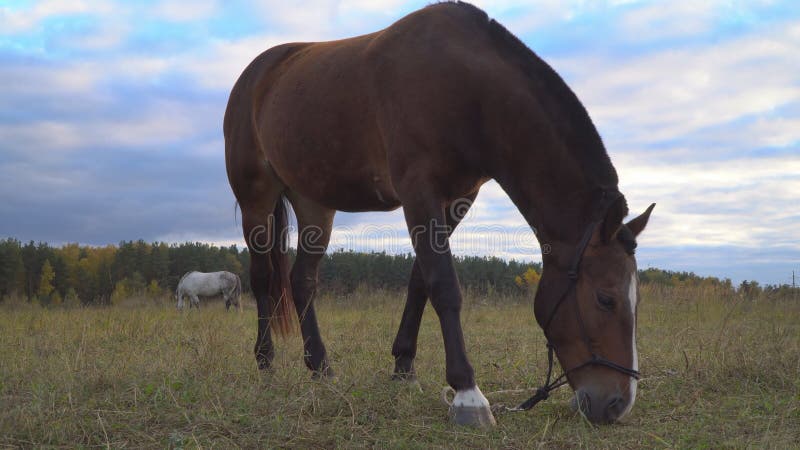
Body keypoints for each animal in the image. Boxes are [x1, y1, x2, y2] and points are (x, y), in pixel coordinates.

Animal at [225, 1, 656, 428]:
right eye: (605, 299)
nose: (618, 404)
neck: (467, 87)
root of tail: (256, 75)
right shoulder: (419, 190)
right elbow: (444, 284)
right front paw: (467, 394)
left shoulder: (456, 200)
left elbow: (420, 281)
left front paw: (404, 369)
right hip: (256, 200)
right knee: (263, 279)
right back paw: (266, 364)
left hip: (315, 204)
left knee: (302, 281)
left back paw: (321, 369)